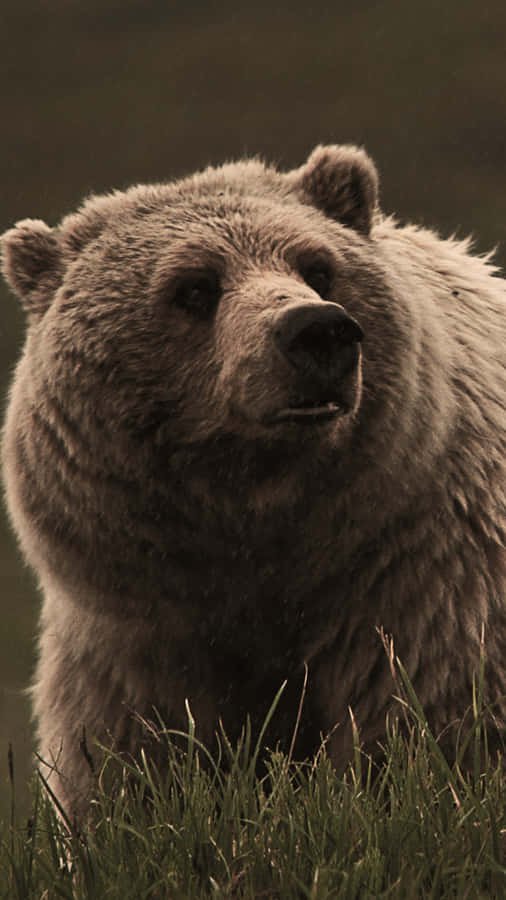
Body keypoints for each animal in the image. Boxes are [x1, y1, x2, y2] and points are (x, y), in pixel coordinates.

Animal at [1, 144, 506, 817]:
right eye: (194, 286)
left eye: (319, 266)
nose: (318, 329)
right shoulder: (135, 640)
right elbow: (129, 771)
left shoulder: (426, 587)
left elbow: (429, 736)